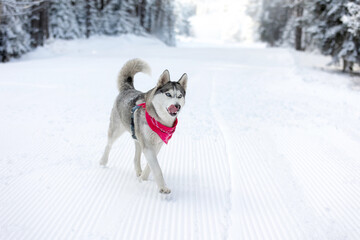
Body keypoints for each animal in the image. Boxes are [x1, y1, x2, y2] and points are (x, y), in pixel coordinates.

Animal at [100, 58, 187, 195]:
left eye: (179, 96)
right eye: (168, 94)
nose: (177, 106)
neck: (159, 120)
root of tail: (128, 89)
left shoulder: (157, 144)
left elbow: (150, 166)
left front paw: (143, 178)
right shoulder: (148, 145)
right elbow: (157, 168)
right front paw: (163, 187)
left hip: (137, 136)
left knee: (136, 156)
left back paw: (138, 171)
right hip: (116, 130)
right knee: (108, 145)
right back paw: (103, 161)